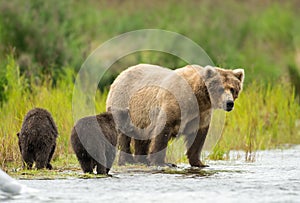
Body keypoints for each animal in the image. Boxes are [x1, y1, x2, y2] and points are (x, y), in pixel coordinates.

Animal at [105, 64, 244, 167]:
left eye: (233, 89)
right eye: (220, 89)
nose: (229, 103)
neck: (198, 99)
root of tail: (120, 75)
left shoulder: (201, 114)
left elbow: (198, 137)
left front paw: (199, 163)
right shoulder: (174, 102)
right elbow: (163, 131)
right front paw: (163, 163)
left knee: (142, 139)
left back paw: (141, 160)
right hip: (125, 104)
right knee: (125, 135)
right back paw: (127, 160)